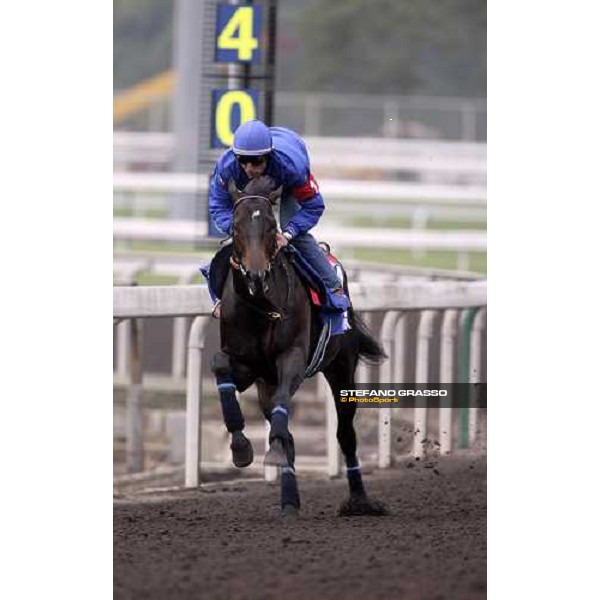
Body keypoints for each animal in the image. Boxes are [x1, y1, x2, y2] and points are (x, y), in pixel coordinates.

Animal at [211, 176, 386, 516]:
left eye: (270, 225)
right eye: (236, 226)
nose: (256, 276)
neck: (261, 308)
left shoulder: (292, 358)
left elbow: (285, 404)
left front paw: (271, 451)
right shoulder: (248, 365)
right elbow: (219, 364)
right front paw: (241, 447)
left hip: (341, 367)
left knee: (346, 434)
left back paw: (359, 501)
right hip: (265, 384)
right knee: (287, 431)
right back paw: (289, 500)